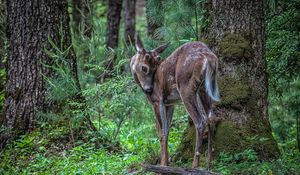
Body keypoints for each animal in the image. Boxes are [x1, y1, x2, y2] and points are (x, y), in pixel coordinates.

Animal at [130, 34, 219, 170]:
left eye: (144, 68)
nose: (149, 90)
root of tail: (208, 57)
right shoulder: (170, 103)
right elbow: (167, 130)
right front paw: (167, 162)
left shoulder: (158, 100)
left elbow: (162, 132)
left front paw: (162, 164)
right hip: (205, 88)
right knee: (211, 117)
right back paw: (208, 165)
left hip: (186, 86)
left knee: (200, 120)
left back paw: (195, 164)